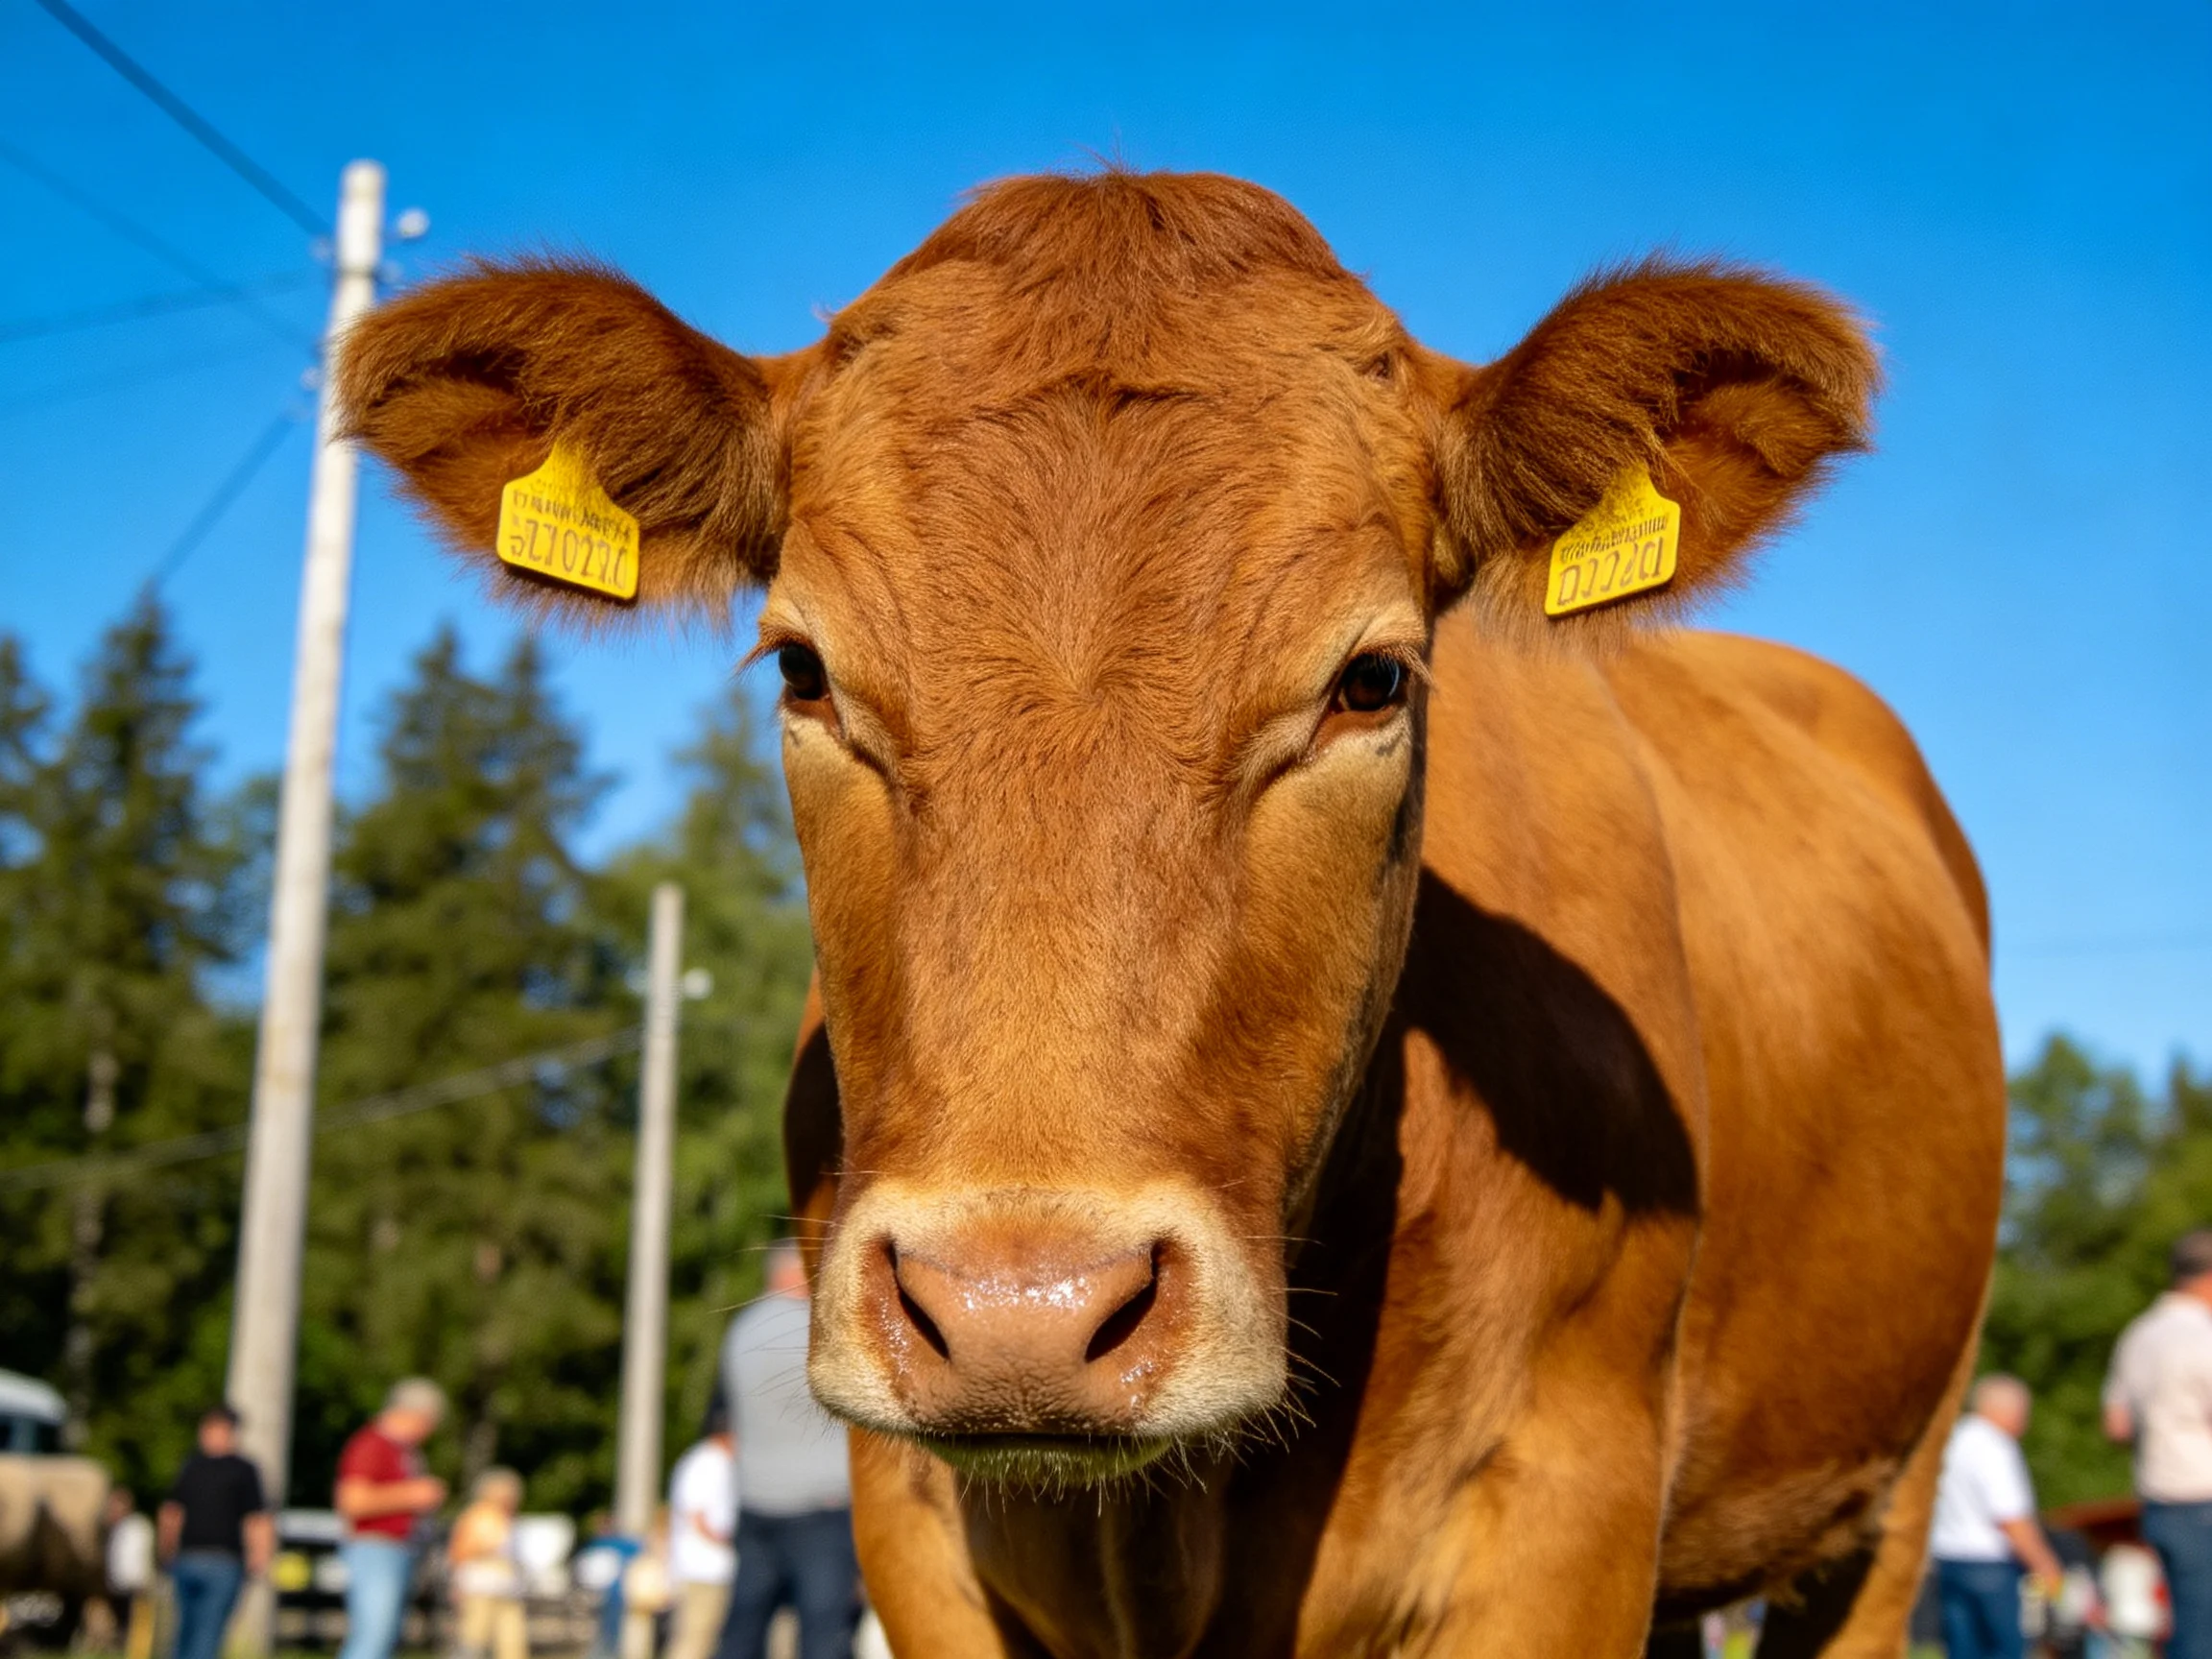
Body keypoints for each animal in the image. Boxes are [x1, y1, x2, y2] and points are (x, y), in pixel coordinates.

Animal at [338, 170, 2005, 1657]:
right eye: (803, 669)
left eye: (1373, 679)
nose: (1018, 1311)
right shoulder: (916, 1533)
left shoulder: (1564, 1512)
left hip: (1893, 1489)